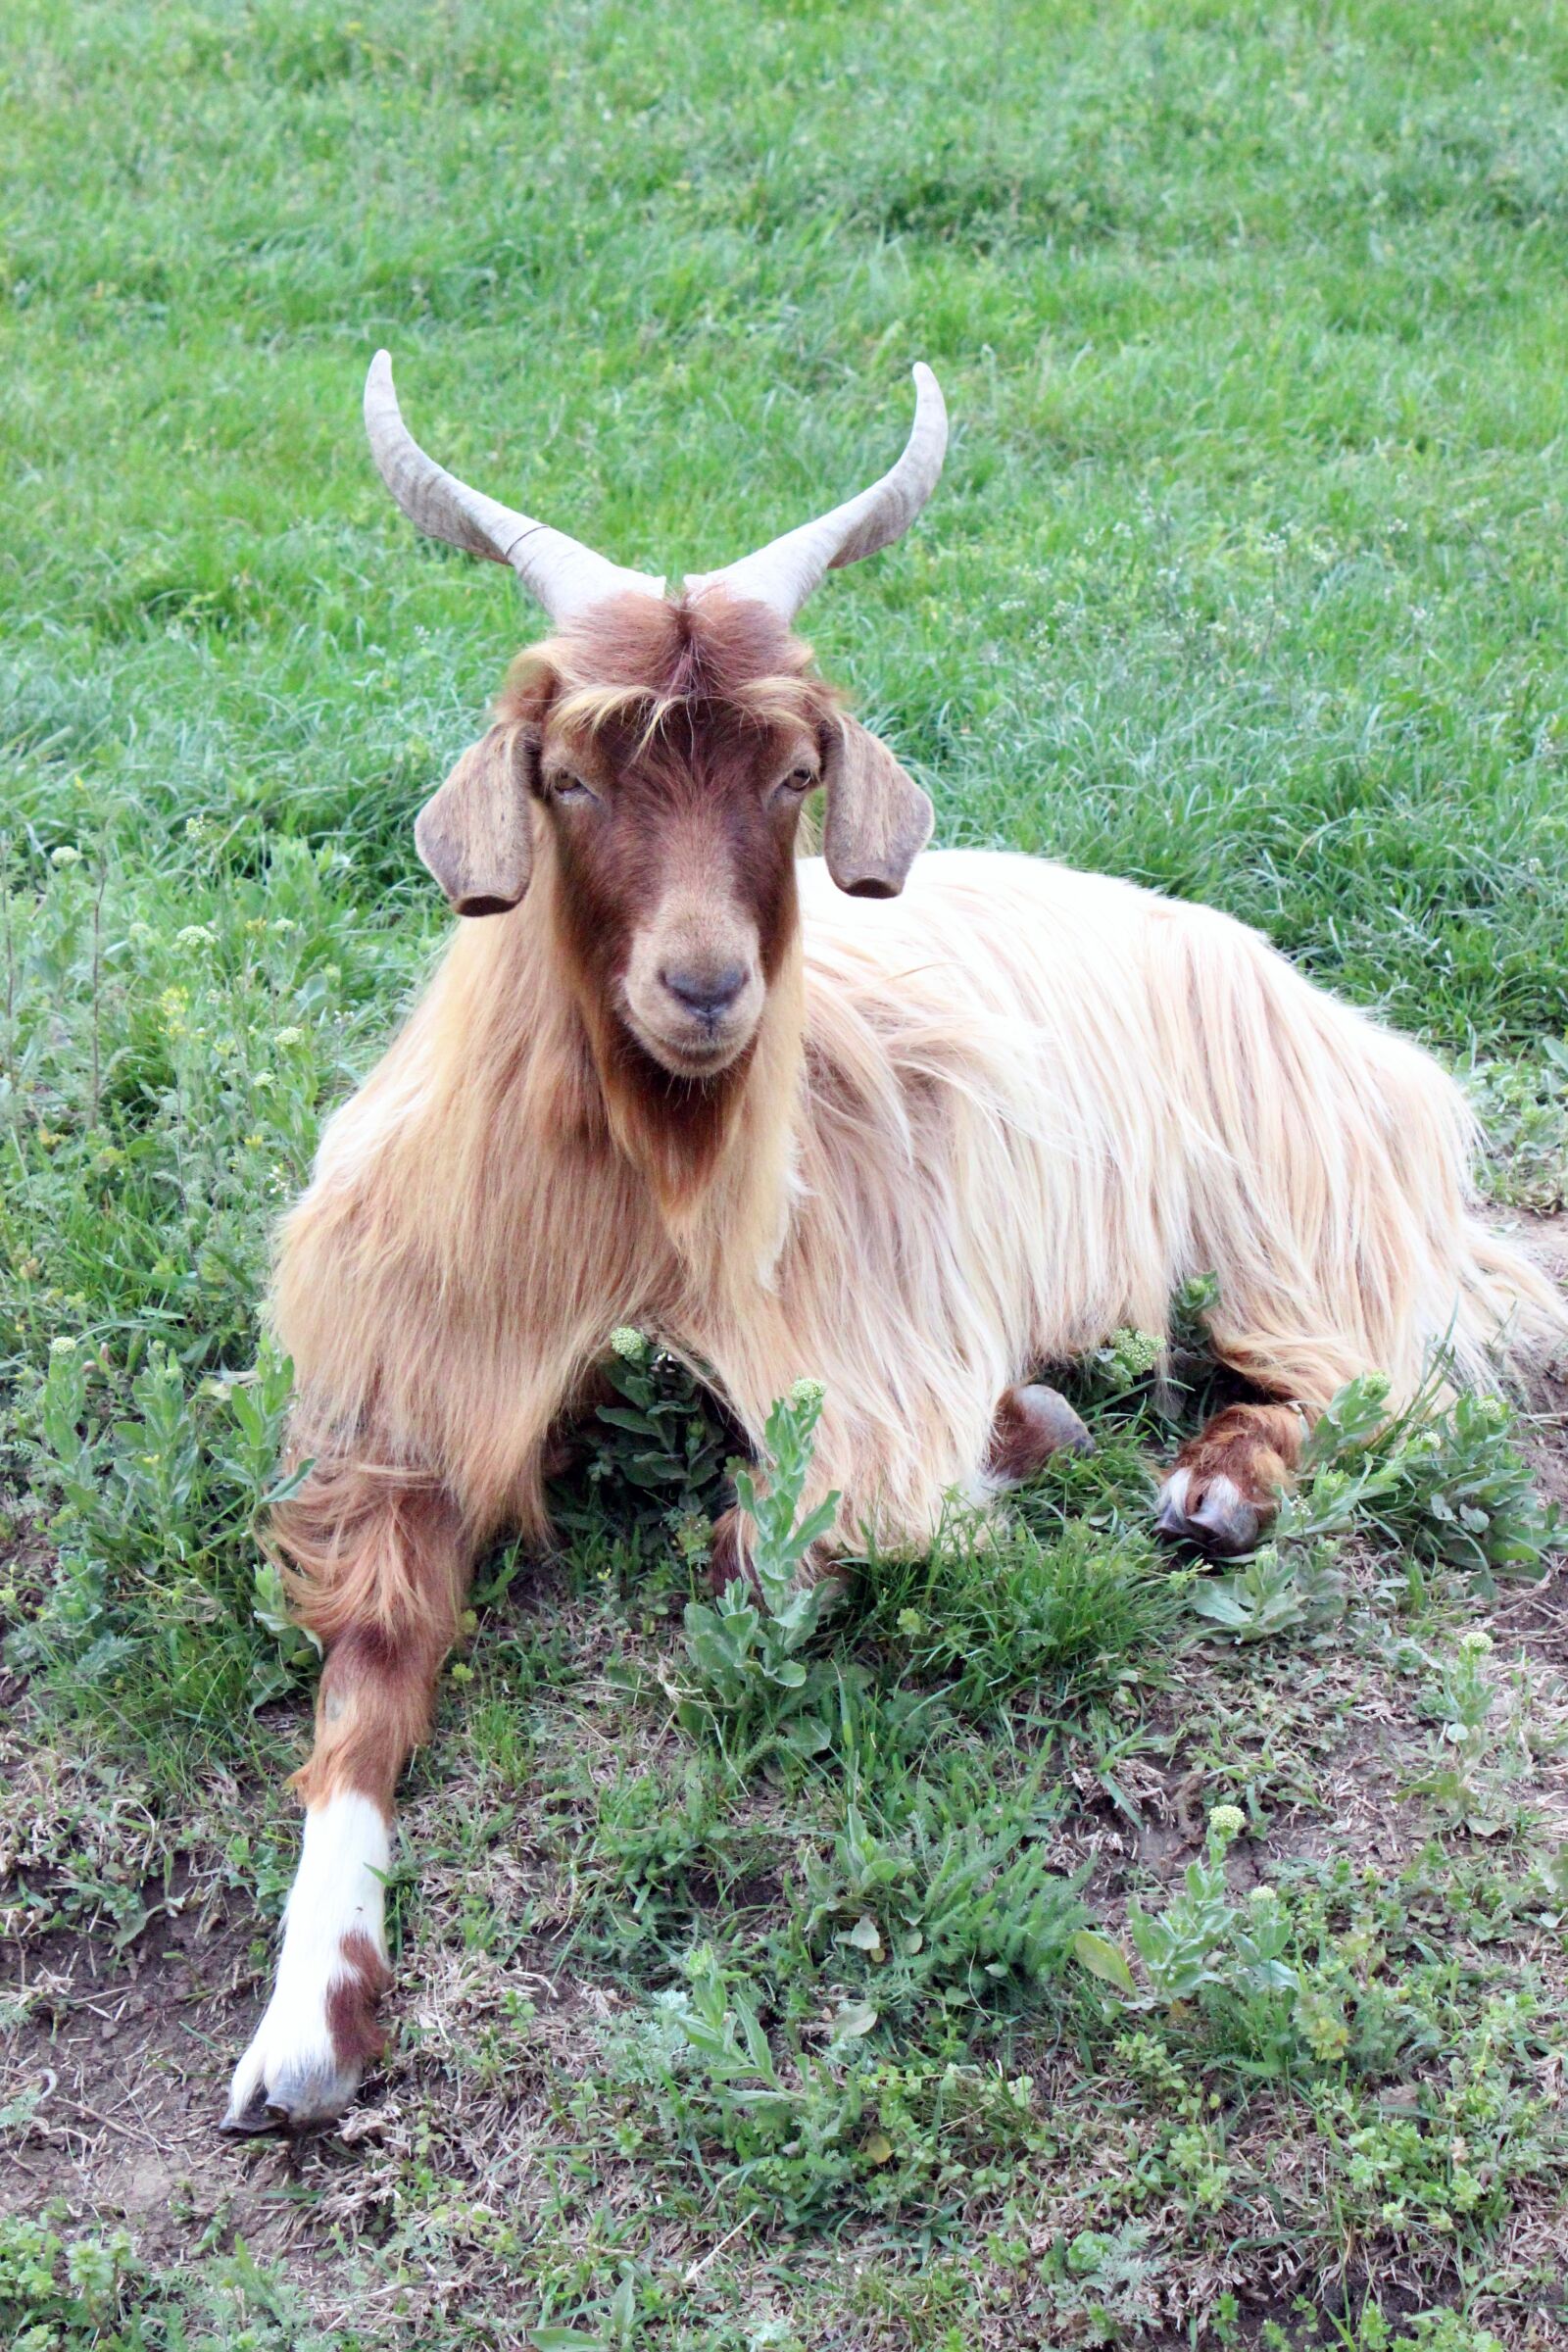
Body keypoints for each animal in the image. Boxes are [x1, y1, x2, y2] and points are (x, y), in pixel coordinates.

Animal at [223, 354, 1564, 2133]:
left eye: (794, 773)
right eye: (567, 774)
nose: (705, 989)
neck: (651, 1208)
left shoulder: (867, 1373)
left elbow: (771, 1547)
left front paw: (1025, 1434)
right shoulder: (402, 1416)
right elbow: (365, 1680)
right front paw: (303, 2022)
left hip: (1284, 1228)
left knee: (1376, 1384)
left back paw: (1212, 1485)